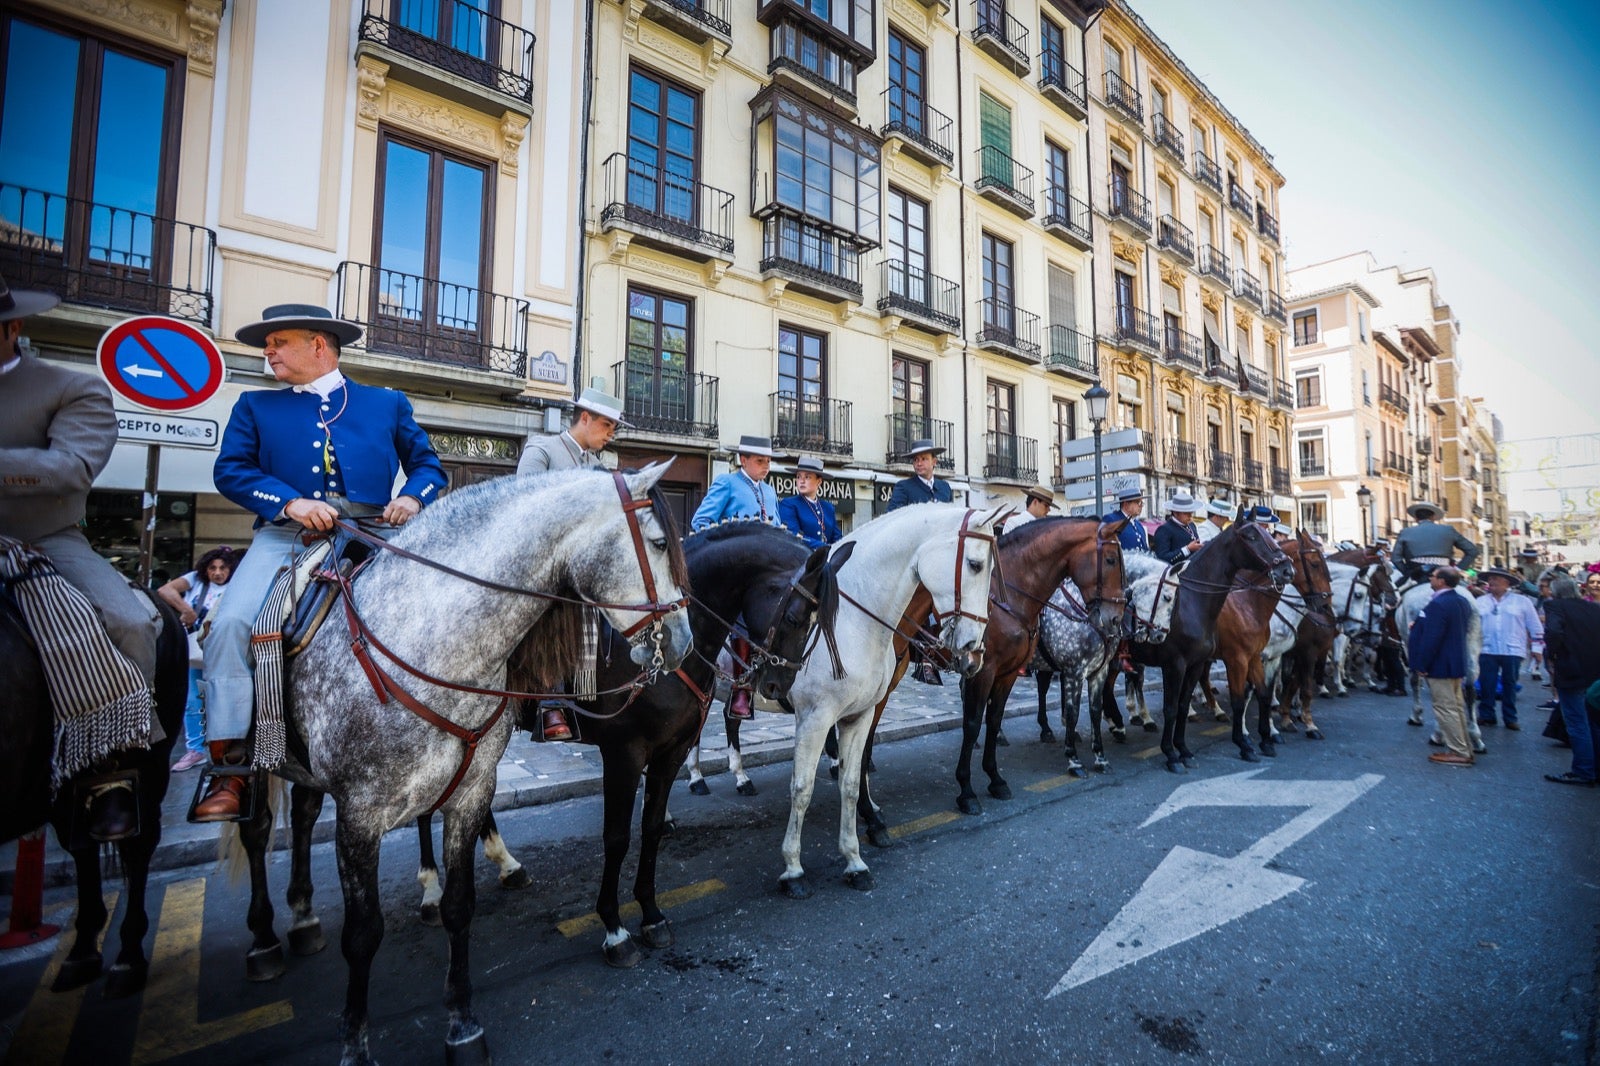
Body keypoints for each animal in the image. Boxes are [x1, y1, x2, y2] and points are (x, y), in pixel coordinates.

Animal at [233, 467, 694, 1062]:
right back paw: (265, 938)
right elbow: (362, 934)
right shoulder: (359, 815)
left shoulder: (473, 790)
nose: (682, 641)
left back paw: (305, 914)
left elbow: (460, 905)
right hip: (253, 759)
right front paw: (355, 1043)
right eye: (659, 542)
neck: (427, 636)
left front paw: (462, 1024)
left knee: (307, 814)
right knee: (257, 832)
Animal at [777, 502, 998, 889]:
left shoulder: (863, 709)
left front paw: (856, 852)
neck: (854, 617)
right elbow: (802, 787)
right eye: (974, 564)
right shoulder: (815, 716)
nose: (975, 653)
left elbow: (853, 777)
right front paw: (793, 867)